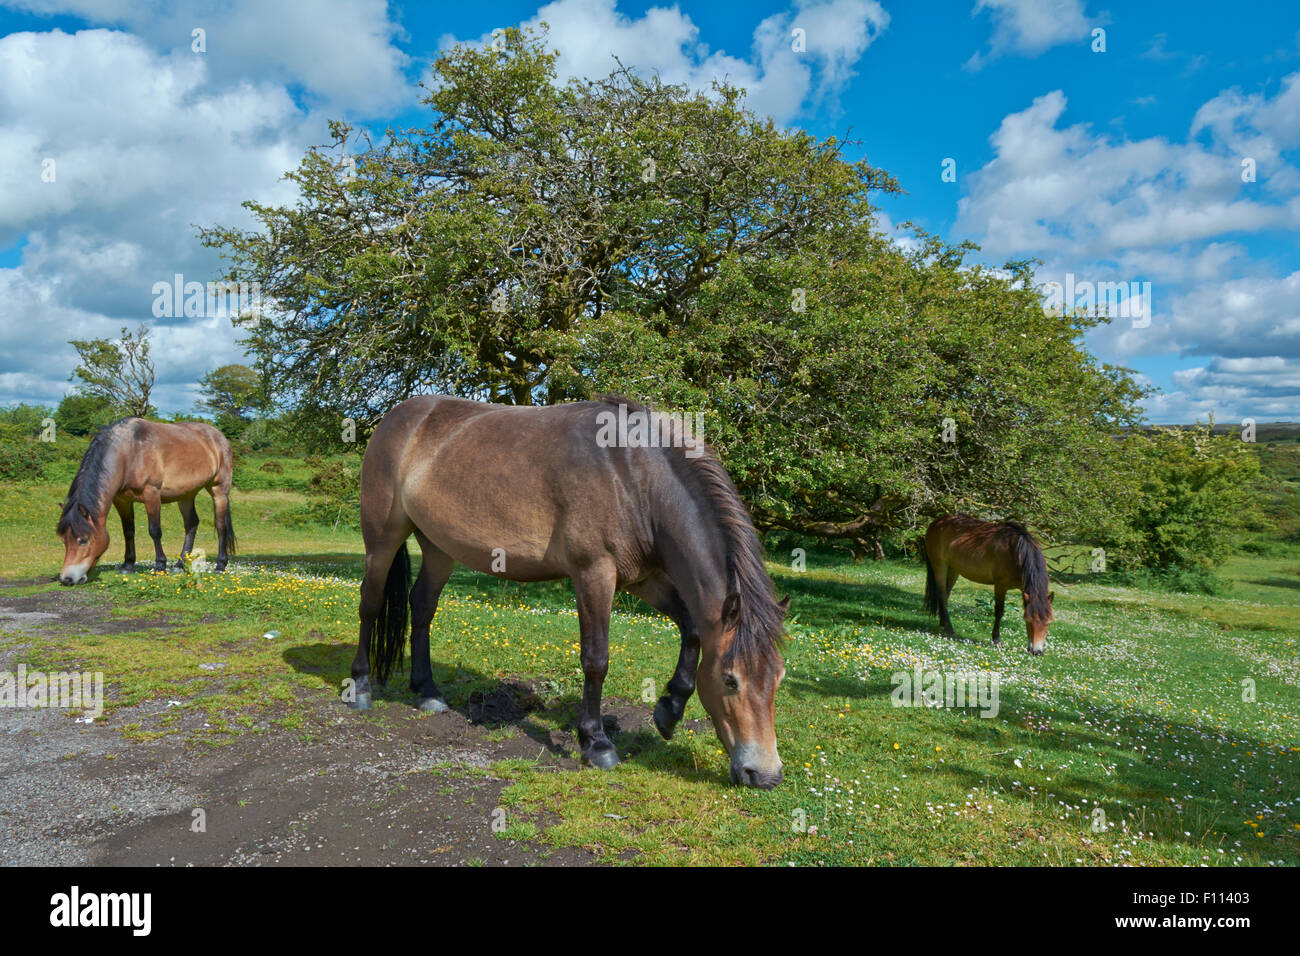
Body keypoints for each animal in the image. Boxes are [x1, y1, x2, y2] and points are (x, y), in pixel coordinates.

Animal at [56, 421, 236, 587]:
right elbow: (128, 531)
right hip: (186, 495)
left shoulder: (152, 494)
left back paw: (220, 565)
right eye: (64, 540)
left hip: (219, 491)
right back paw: (179, 565)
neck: (129, 452)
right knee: (191, 524)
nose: (67, 579)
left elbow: (154, 531)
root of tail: (219, 437)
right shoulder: (122, 500)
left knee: (220, 526)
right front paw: (128, 565)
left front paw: (160, 566)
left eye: (83, 540)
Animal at [351, 392, 785, 790]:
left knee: (422, 606)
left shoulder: (641, 579)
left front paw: (669, 709)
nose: (765, 775)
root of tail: (398, 416)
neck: (634, 478)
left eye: (779, 677)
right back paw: (360, 688)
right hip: (382, 538)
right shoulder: (594, 574)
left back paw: (427, 692)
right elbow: (596, 659)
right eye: (730, 680)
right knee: (370, 605)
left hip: (439, 548)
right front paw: (596, 743)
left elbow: (692, 628)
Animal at [920, 515, 1050, 658]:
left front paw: (1028, 646)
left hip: (953, 569)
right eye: (1030, 621)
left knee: (945, 595)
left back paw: (943, 622)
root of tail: (936, 522)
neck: (1016, 551)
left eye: (1048, 623)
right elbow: (999, 612)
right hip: (939, 566)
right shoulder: (1000, 585)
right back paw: (950, 629)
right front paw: (996, 639)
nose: (1037, 651)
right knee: (942, 595)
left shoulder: (1024, 589)